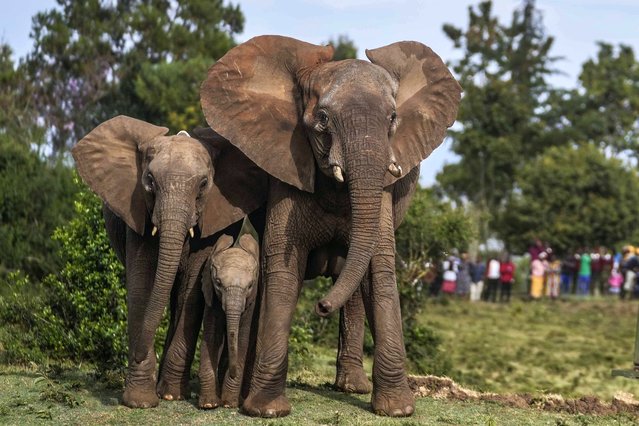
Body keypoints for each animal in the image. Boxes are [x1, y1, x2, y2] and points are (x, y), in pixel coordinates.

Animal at [200, 233, 260, 410]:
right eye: (218, 283)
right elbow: (212, 337)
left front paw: (229, 404)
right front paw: (209, 404)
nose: (234, 373)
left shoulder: (251, 302)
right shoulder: (211, 297)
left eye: (250, 285)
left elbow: (242, 339)